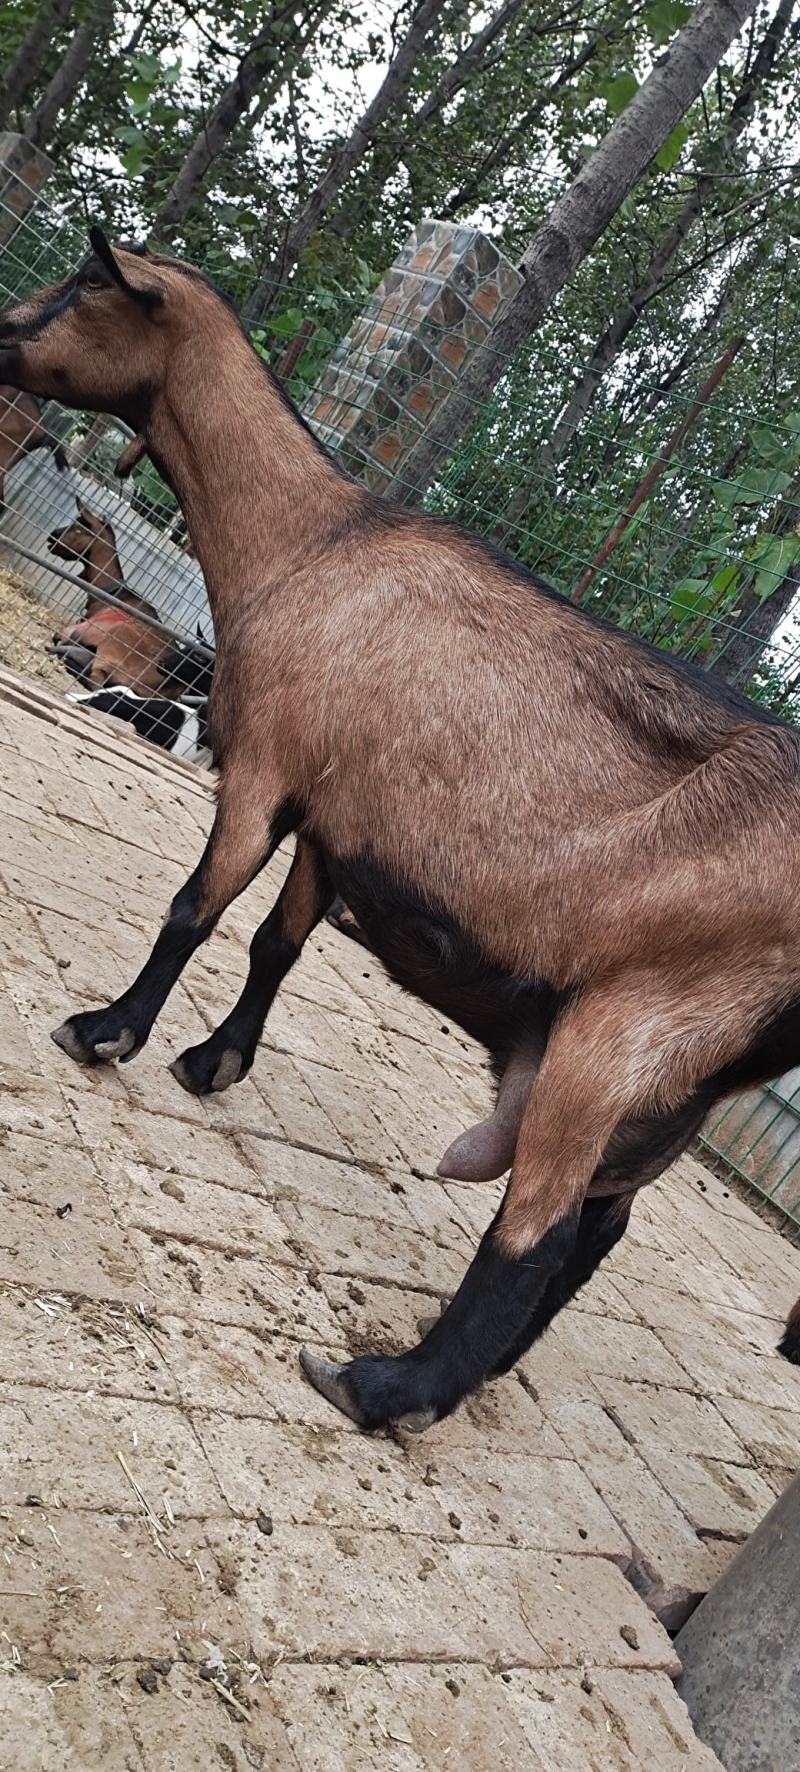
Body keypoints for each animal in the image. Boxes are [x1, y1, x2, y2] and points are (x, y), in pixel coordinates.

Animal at [1, 228, 798, 1438]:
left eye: (86, 286)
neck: (313, 541)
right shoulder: (337, 819)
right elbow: (274, 941)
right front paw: (212, 1059)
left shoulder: (265, 765)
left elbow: (196, 907)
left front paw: (107, 1031)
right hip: (677, 1089)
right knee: (597, 1233)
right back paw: (479, 1370)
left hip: (626, 1032)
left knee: (538, 1230)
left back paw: (385, 1385)